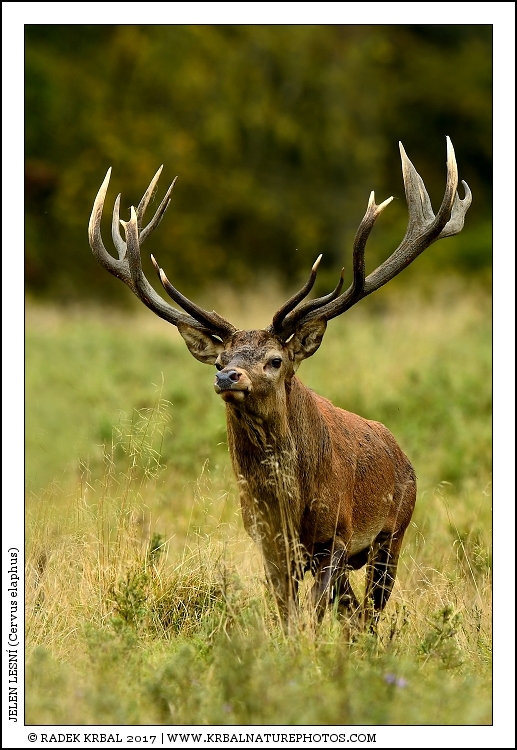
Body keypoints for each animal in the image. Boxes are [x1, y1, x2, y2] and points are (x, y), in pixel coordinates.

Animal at [89, 137, 471, 629]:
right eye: (222, 358)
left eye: (275, 360)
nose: (227, 375)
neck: (289, 505)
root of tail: (402, 453)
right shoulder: (268, 543)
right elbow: (288, 617)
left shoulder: (335, 535)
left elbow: (313, 616)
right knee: (353, 614)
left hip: (393, 532)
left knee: (370, 614)